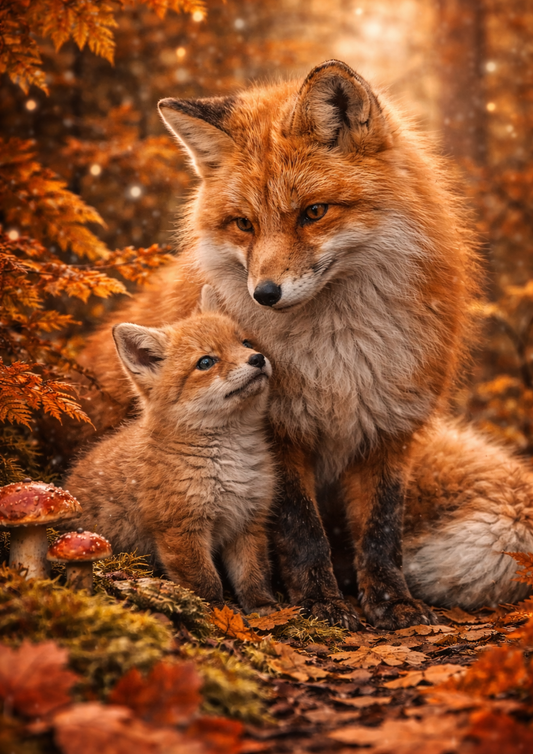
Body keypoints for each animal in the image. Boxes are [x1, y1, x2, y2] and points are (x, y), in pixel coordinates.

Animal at [65, 286, 278, 614]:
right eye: (206, 362)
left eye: (245, 343)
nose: (256, 358)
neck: (229, 462)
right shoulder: (180, 529)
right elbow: (206, 583)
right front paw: (213, 616)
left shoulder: (248, 521)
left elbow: (253, 576)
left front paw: (263, 610)